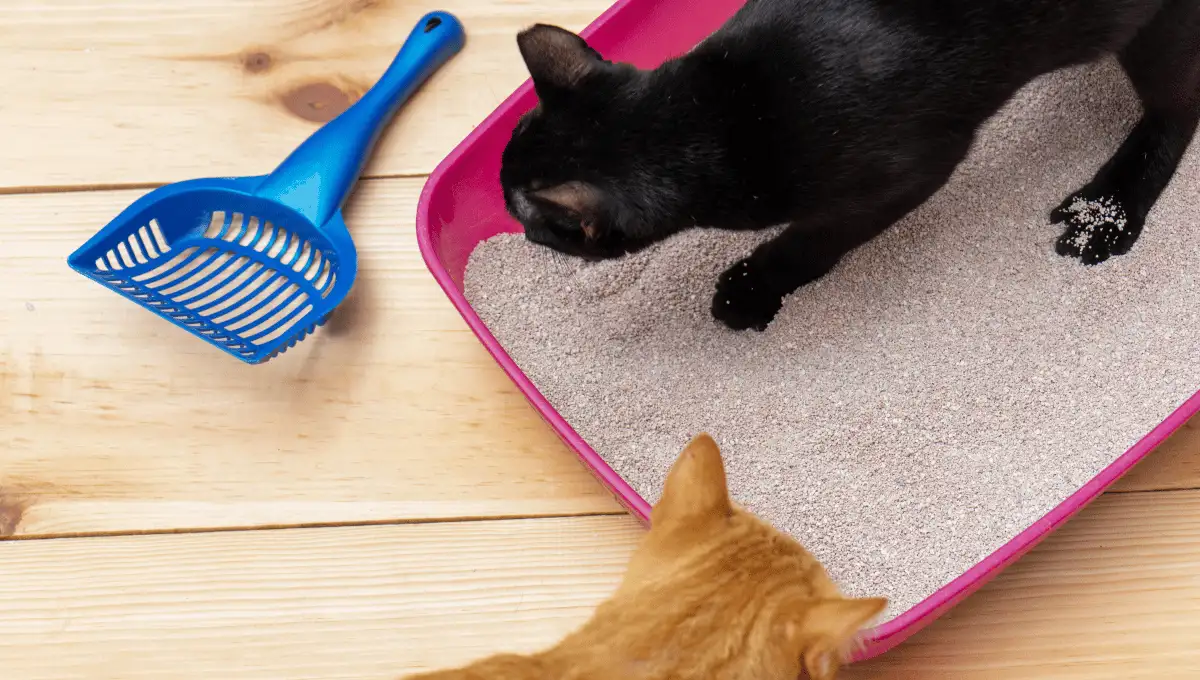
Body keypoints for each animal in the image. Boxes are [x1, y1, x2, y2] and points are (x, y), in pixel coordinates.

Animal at [496, 0, 1200, 331]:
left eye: (534, 225)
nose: (519, 230)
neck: (711, 112)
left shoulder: (903, 176)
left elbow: (811, 240)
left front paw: (752, 286)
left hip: (1152, 32)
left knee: (1176, 110)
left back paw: (1107, 210)